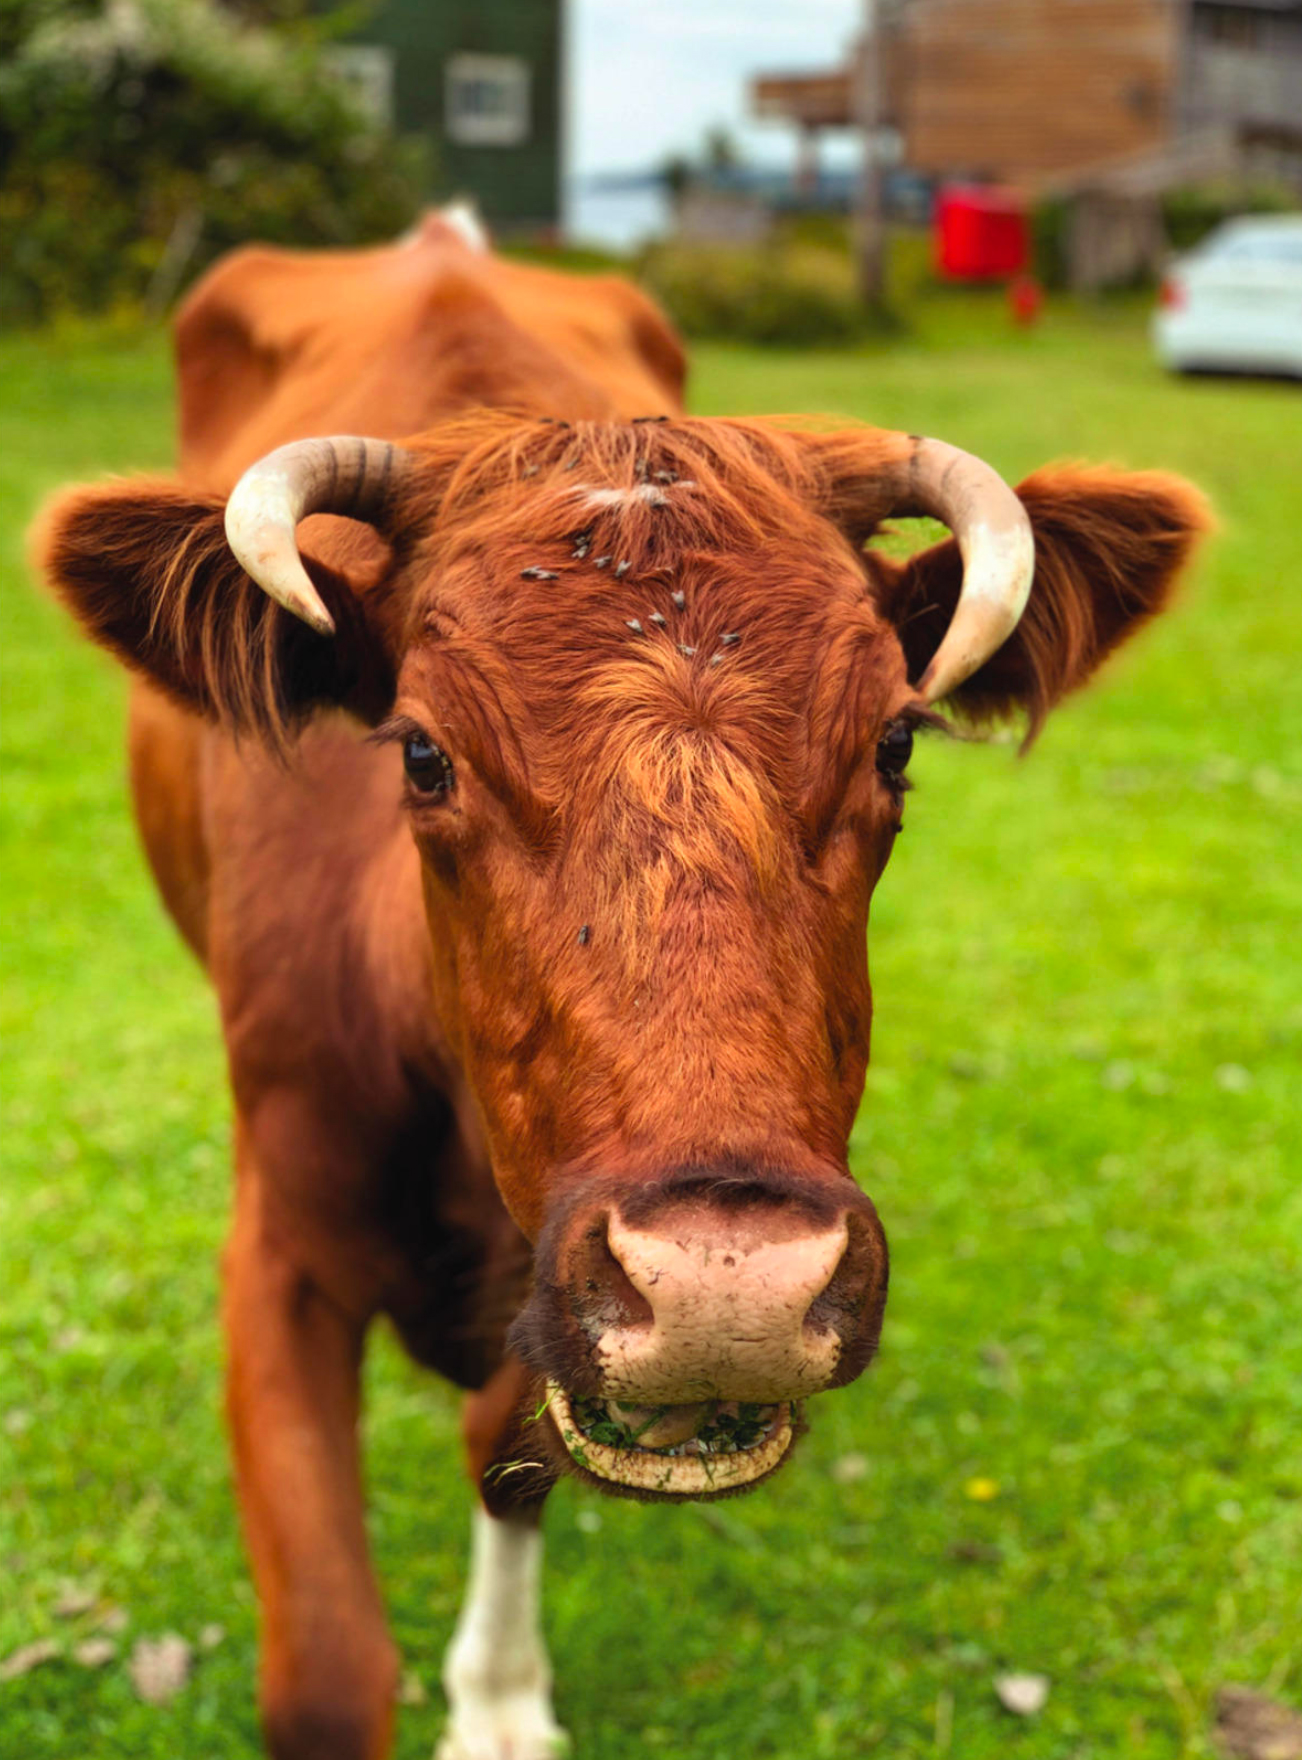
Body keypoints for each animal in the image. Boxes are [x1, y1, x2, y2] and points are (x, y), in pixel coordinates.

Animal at [32, 216, 1210, 1760]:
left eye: (895, 744)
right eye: (421, 752)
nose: (726, 1283)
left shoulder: (540, 1273)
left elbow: (507, 1453)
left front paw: (499, 1699)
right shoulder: (278, 1244)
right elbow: (329, 1674)